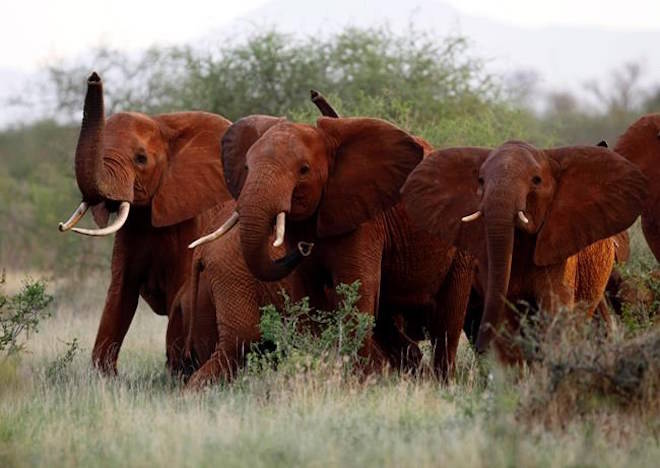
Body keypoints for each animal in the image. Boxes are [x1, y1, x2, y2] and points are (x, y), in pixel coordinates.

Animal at [57, 72, 232, 372]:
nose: (94, 77)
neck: (162, 124)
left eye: (141, 159)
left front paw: (175, 373)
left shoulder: (192, 221)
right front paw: (104, 376)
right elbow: (120, 293)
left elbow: (180, 291)